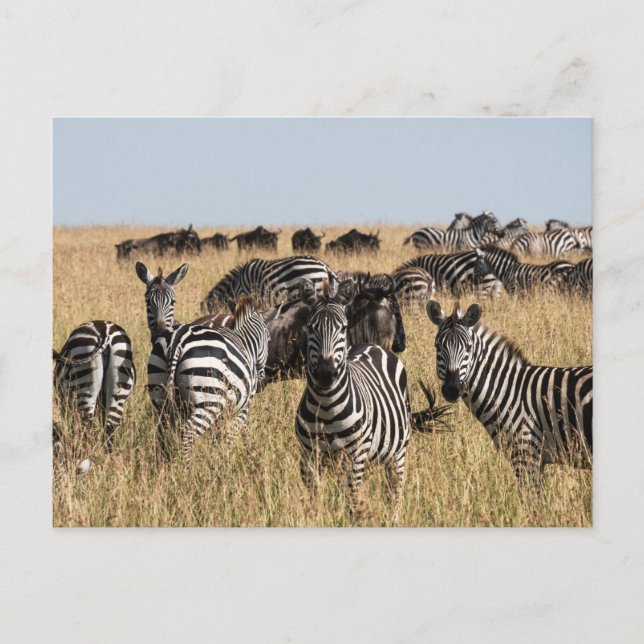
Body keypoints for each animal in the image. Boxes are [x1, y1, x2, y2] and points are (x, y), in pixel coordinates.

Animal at [295, 278, 411, 520]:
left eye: (343, 327)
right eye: (310, 327)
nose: (326, 373)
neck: (326, 406)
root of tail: (372, 345)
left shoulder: (356, 455)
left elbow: (352, 501)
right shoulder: (308, 457)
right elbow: (314, 501)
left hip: (398, 452)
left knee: (395, 491)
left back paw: (393, 519)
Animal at [426, 301, 592, 485]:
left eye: (468, 348)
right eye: (437, 346)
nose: (452, 389)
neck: (508, 390)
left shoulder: (525, 453)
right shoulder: (535, 458)